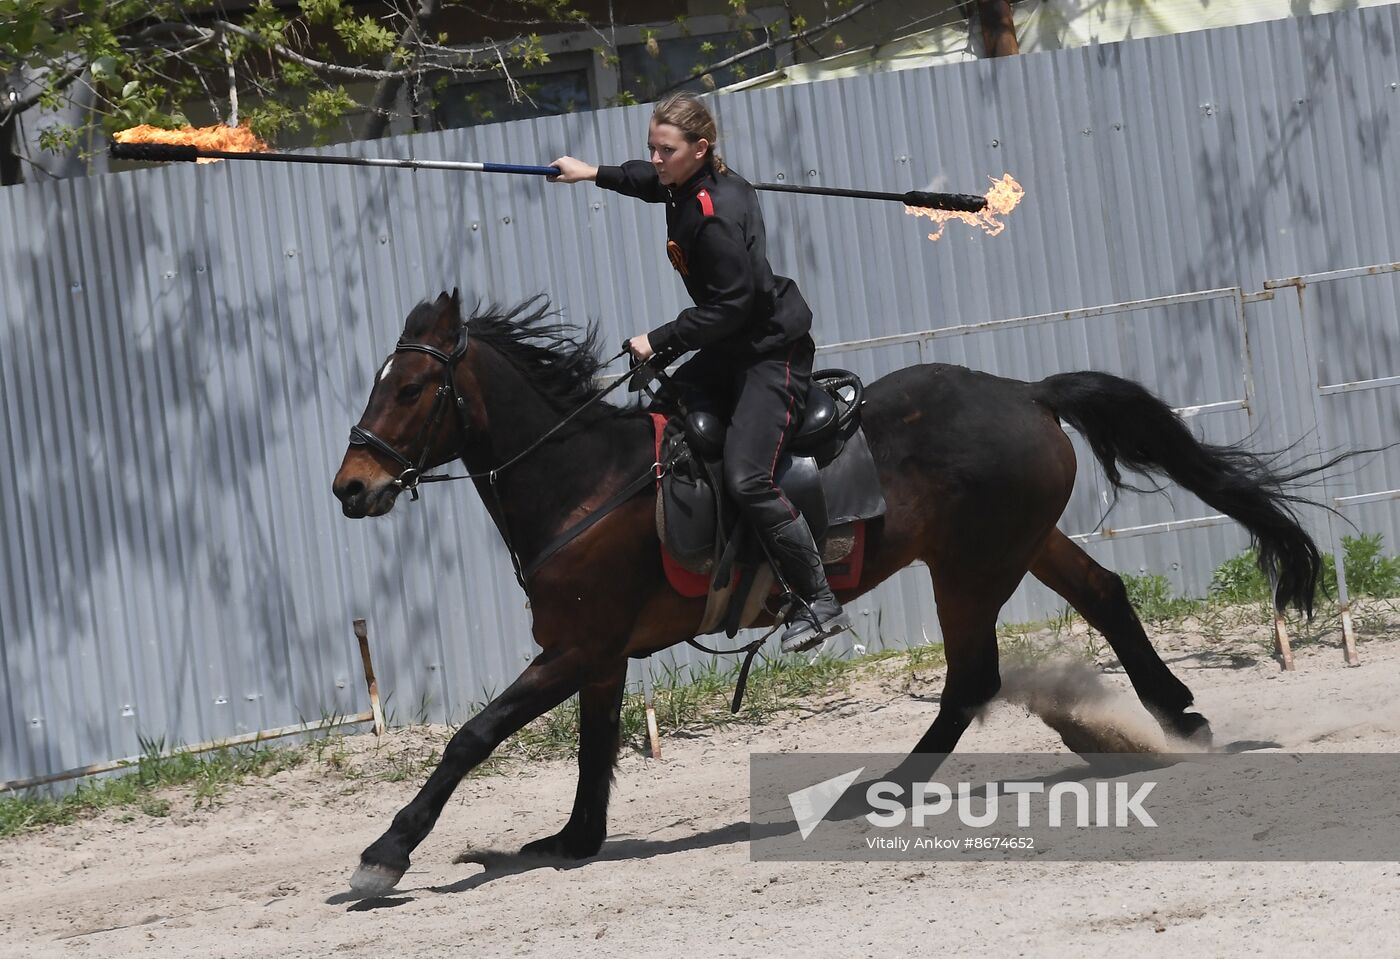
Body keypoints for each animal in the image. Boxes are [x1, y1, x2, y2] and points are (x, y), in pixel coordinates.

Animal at [333, 289, 1327, 890]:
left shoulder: (575, 649)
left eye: (412, 386)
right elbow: (595, 749)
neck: (584, 480)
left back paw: (883, 788)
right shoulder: (599, 655)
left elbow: (472, 737)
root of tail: (1027, 390)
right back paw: (1175, 716)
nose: (350, 487)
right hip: (1019, 543)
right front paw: (572, 841)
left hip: (971, 568)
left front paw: (385, 852)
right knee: (1106, 595)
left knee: (973, 675)